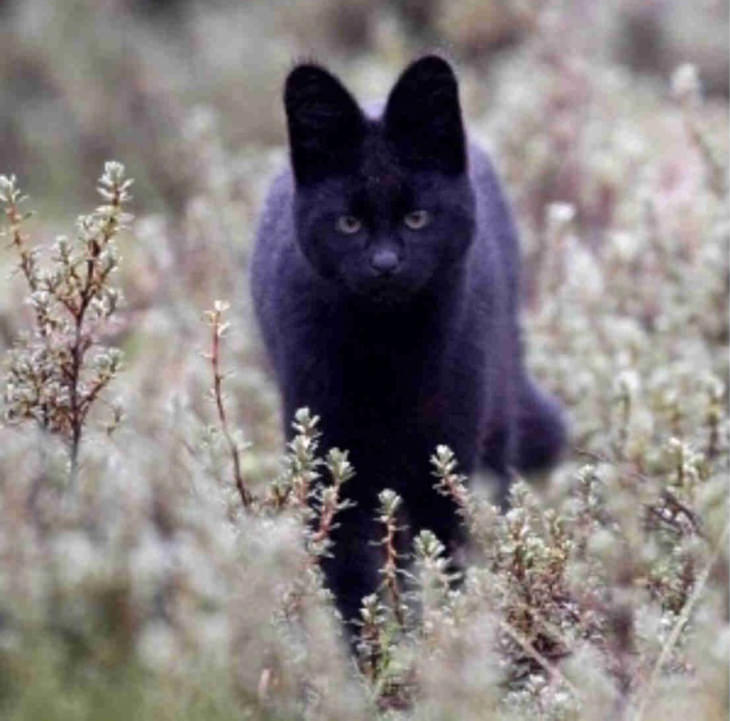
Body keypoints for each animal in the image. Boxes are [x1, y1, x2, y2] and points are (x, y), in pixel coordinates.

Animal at [250, 54, 564, 624]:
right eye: (348, 223)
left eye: (417, 217)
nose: (385, 264)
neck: (387, 354)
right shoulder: (333, 461)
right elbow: (349, 575)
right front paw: (364, 646)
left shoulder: (448, 458)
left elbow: (442, 566)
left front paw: (441, 638)